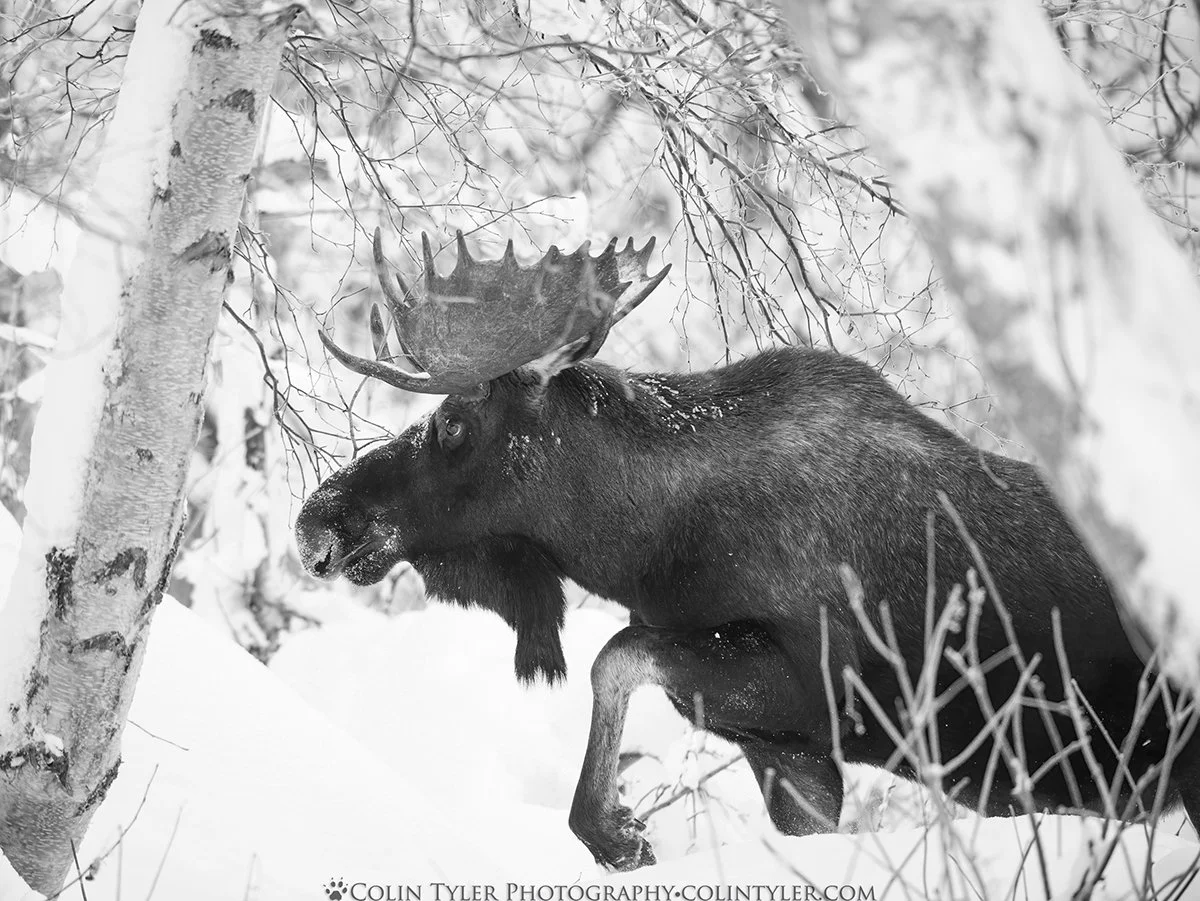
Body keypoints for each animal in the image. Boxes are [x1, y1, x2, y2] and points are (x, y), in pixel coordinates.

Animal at [295, 228, 1198, 871]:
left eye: (452, 422)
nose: (316, 522)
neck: (645, 544)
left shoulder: (809, 677)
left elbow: (615, 654)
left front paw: (617, 831)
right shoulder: (792, 750)